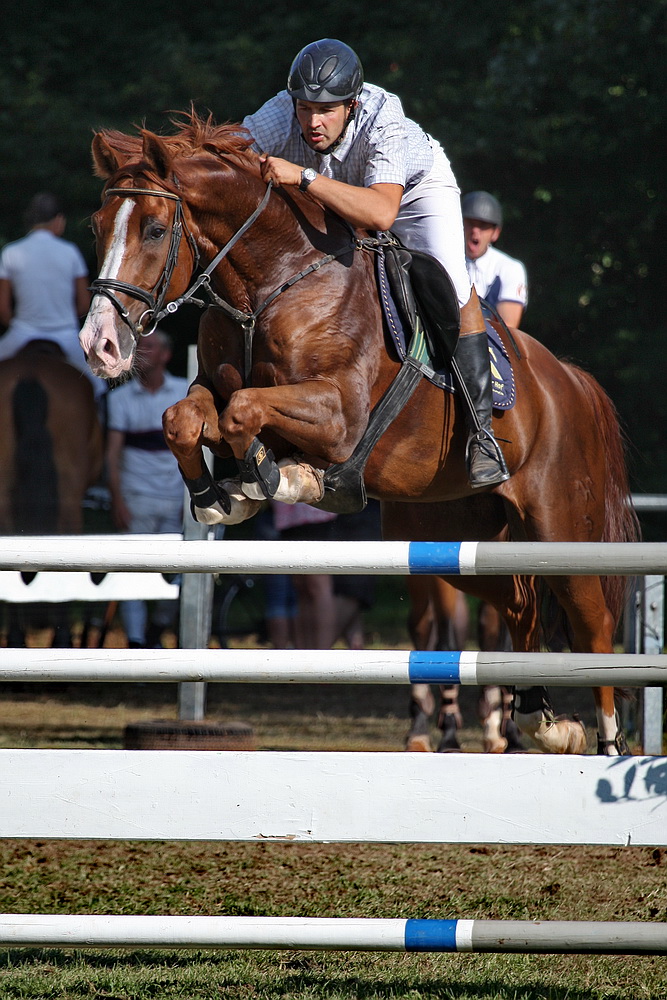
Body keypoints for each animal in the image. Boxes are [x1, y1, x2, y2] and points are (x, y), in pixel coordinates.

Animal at [81, 113, 640, 752]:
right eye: (97, 226)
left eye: (153, 230)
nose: (99, 345)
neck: (271, 284)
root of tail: (569, 379)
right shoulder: (211, 389)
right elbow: (188, 419)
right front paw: (221, 496)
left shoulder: (339, 416)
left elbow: (244, 411)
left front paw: (277, 477)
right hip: (459, 533)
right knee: (520, 605)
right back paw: (543, 723)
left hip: (559, 525)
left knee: (591, 622)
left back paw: (605, 743)